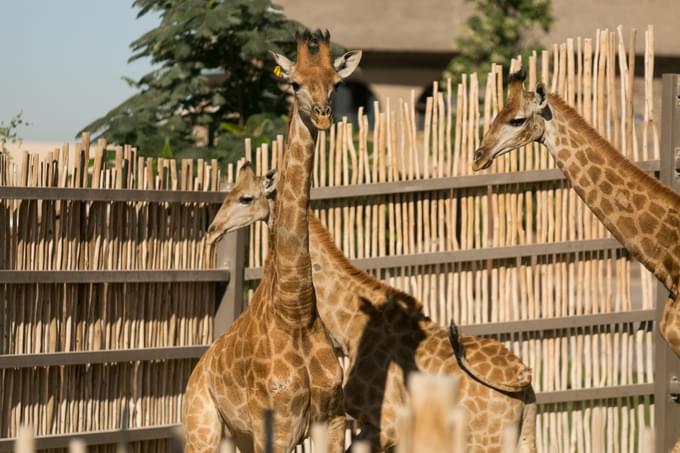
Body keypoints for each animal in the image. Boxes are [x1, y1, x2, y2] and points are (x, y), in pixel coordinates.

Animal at [181, 31, 362, 452]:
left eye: (337, 83)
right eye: (294, 83)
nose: (323, 114)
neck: (295, 311)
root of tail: (199, 370)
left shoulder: (331, 420)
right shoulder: (276, 426)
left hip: (238, 436)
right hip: (203, 428)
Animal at [206, 163, 536, 452]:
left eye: (245, 197)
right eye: (229, 194)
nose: (212, 230)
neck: (350, 328)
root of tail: (524, 378)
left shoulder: (384, 424)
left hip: (486, 438)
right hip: (524, 433)